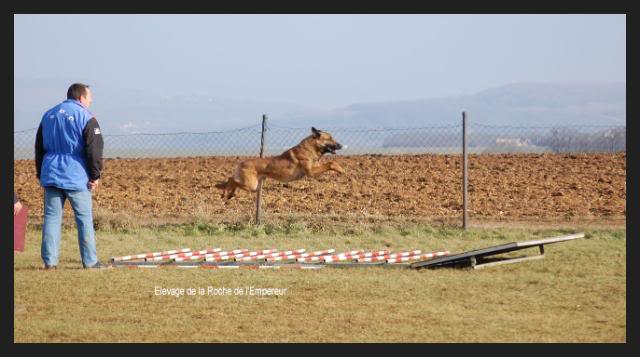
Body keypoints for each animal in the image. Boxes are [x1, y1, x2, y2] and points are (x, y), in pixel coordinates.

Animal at [215, 126, 344, 199]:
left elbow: (329, 163)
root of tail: (242, 163)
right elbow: (331, 163)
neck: (310, 148)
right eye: (329, 138)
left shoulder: (314, 169)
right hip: (251, 184)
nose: (341, 146)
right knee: (232, 180)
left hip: (252, 185)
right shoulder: (311, 172)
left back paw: (229, 194)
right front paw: (341, 169)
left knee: (232, 180)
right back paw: (225, 193)